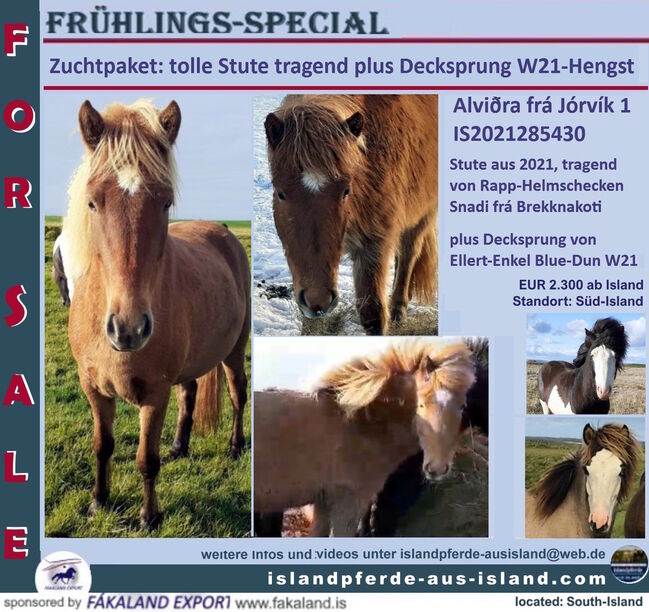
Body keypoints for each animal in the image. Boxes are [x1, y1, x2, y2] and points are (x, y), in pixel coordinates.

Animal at [63, 99, 250, 529]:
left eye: (165, 202)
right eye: (93, 202)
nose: (128, 328)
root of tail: (224, 231)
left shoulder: (154, 394)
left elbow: (145, 460)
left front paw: (150, 517)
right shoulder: (93, 389)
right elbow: (102, 446)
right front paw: (98, 501)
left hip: (235, 351)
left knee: (238, 394)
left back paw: (236, 447)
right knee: (190, 393)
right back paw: (180, 446)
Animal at [254, 340, 476, 537]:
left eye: (462, 406)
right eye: (421, 404)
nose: (437, 468)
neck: (361, 425)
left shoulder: (324, 504)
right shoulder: (349, 503)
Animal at [264, 95, 438, 335]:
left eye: (346, 191)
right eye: (280, 193)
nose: (319, 301)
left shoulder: (374, 245)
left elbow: (373, 314)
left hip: (423, 215)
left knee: (408, 254)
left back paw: (398, 308)